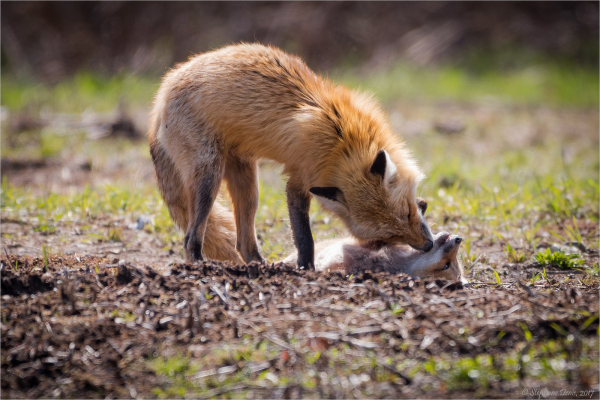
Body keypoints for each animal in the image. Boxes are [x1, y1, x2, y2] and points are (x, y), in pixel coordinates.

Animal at [149, 43, 432, 268]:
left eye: (407, 214)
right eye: (390, 237)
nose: (428, 246)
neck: (344, 142)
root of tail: (161, 92)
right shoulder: (301, 180)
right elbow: (305, 238)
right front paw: (306, 268)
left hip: (248, 185)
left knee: (243, 244)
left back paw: (262, 267)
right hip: (209, 178)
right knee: (191, 237)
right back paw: (201, 266)